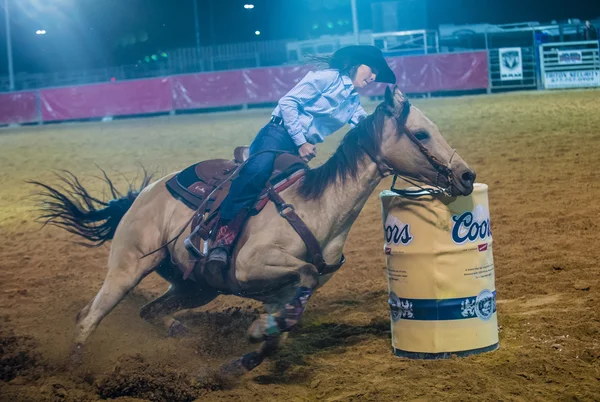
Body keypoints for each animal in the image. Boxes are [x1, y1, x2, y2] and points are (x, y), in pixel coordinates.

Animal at [32, 86, 476, 376]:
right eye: (422, 133)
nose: (467, 176)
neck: (317, 207)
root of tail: (145, 192)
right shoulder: (252, 267)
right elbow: (305, 274)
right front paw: (258, 332)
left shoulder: (279, 290)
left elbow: (285, 328)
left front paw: (246, 354)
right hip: (127, 268)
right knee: (89, 317)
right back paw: (75, 368)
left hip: (196, 286)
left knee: (147, 311)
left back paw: (179, 331)